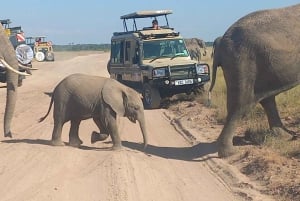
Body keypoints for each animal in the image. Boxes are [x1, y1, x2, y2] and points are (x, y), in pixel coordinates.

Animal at [209, 3, 300, 158]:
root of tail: (220, 41)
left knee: (267, 99)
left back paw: (287, 136)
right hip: (242, 64)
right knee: (240, 105)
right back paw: (229, 153)